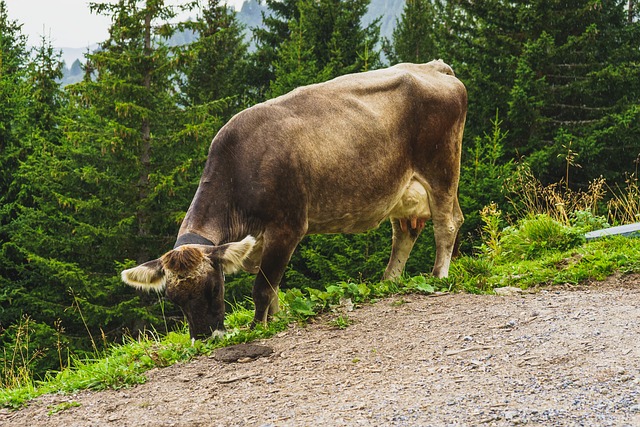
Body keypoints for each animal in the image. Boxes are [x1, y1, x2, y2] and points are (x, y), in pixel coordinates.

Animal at [122, 60, 468, 340]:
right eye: (174, 299)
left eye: (214, 287)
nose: (205, 338)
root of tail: (435, 67)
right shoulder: (258, 242)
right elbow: (273, 286)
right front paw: (274, 320)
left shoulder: (287, 227)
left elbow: (263, 287)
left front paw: (257, 327)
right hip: (403, 189)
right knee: (406, 233)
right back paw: (389, 283)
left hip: (441, 170)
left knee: (447, 223)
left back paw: (438, 276)